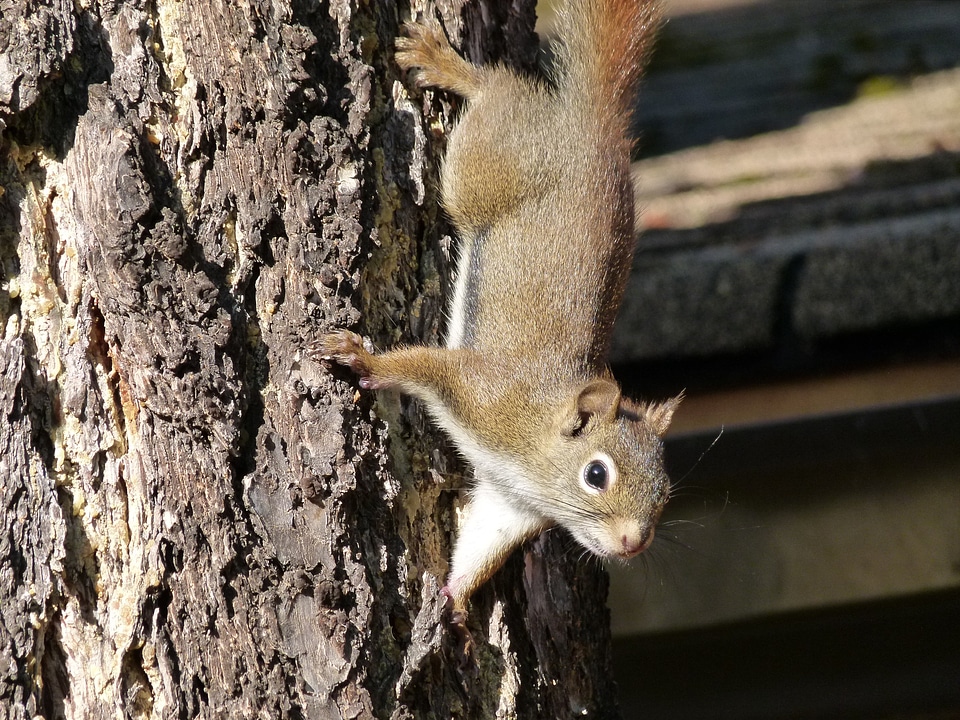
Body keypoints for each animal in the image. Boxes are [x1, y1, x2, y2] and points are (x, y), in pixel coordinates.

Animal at [316, 0, 676, 620]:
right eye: (596, 474)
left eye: (666, 490)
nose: (633, 542)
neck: (533, 452)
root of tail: (596, 131)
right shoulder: (482, 391)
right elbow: (419, 366)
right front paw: (365, 360)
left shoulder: (511, 506)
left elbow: (480, 548)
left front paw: (454, 602)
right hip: (487, 168)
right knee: (497, 92)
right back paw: (448, 64)